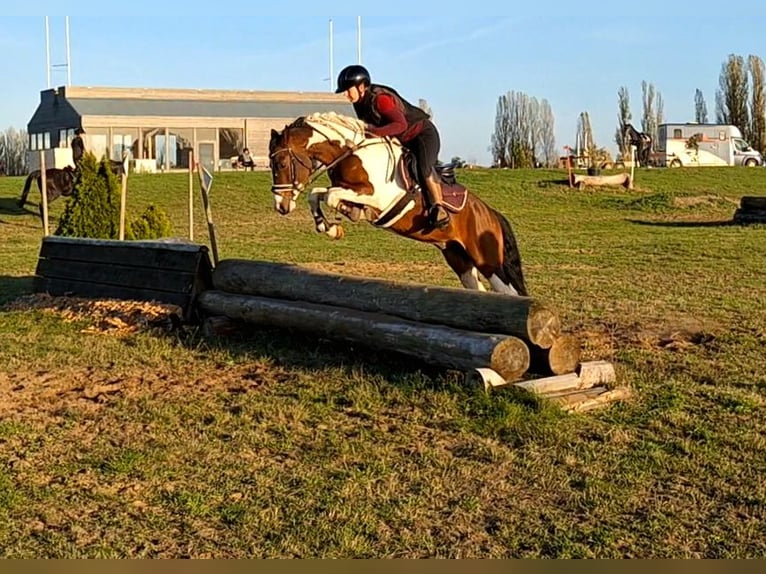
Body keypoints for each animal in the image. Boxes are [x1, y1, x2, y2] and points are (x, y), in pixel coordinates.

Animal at [268, 111, 528, 296]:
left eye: (281, 163)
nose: (281, 206)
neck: (351, 154)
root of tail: (491, 214)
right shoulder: (345, 189)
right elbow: (316, 194)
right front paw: (331, 227)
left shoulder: (376, 197)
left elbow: (330, 196)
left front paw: (339, 219)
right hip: (459, 258)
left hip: (488, 262)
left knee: (509, 292)